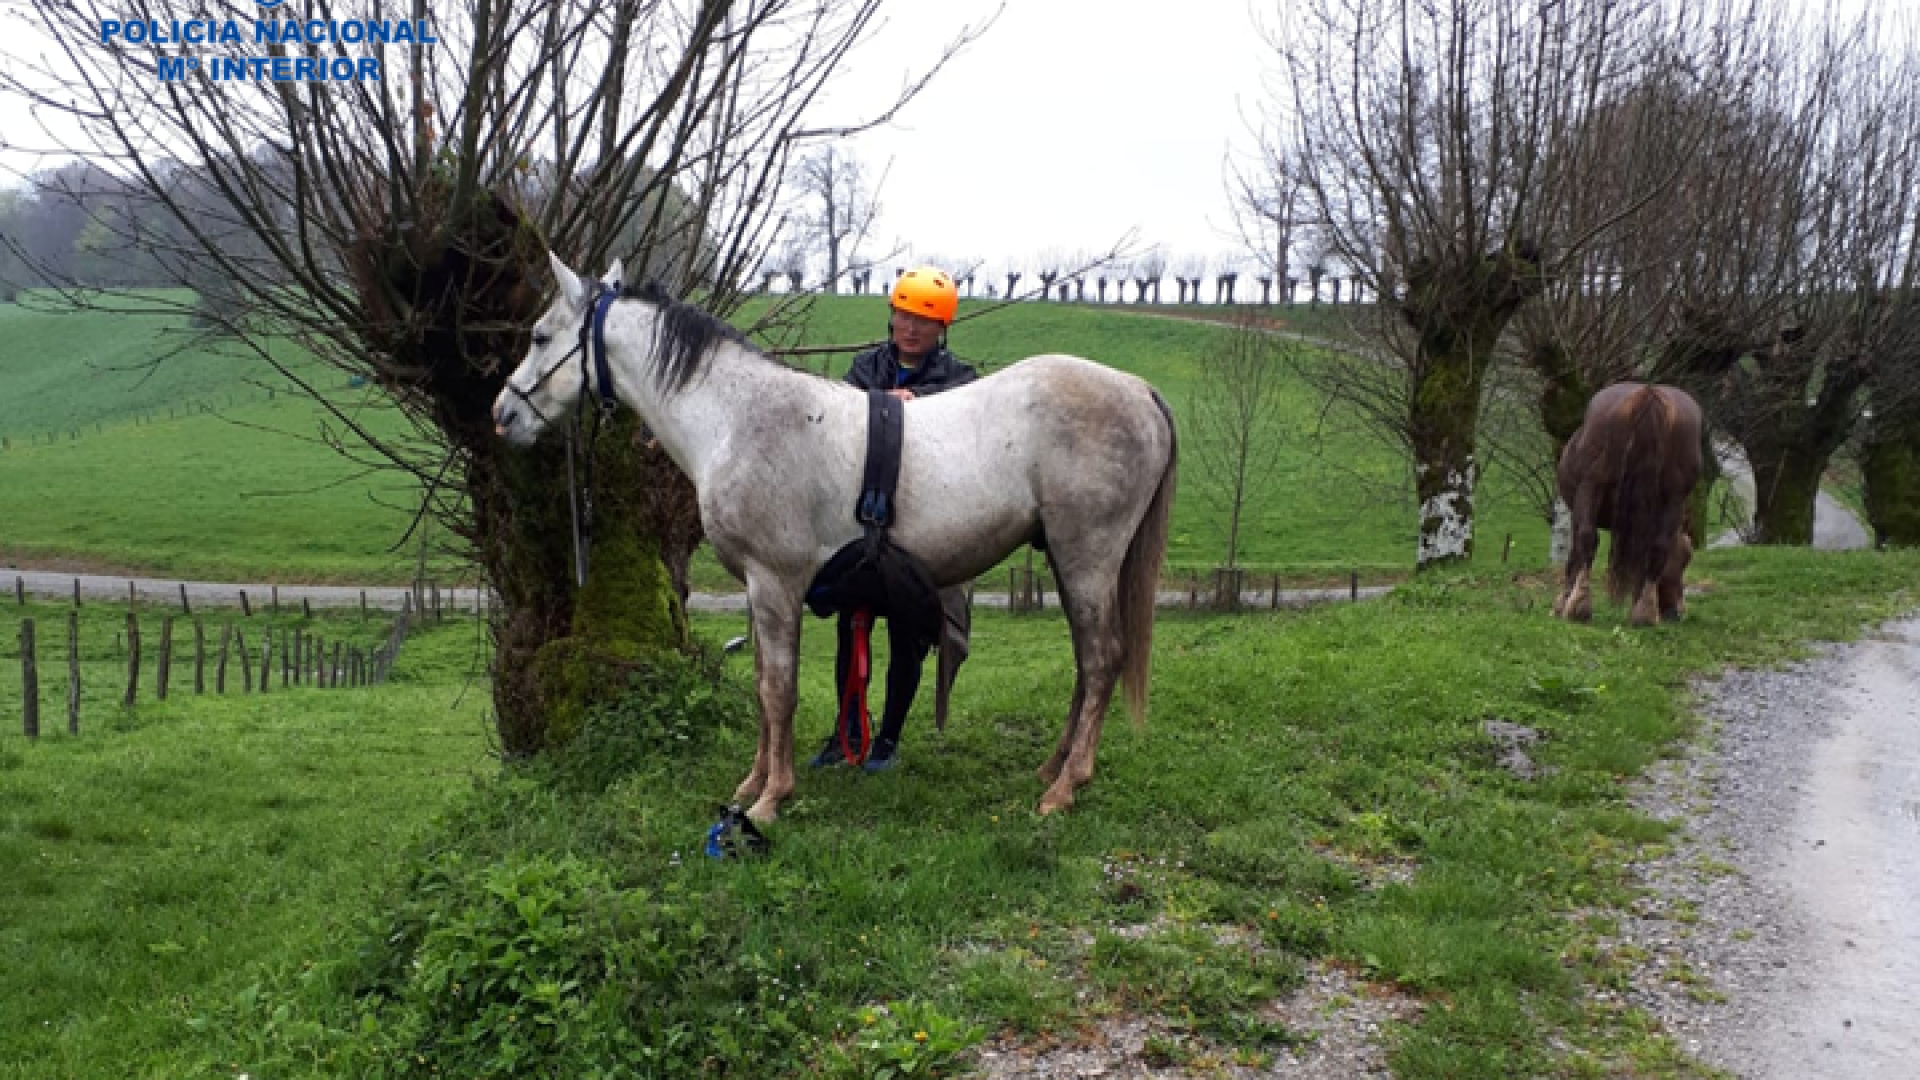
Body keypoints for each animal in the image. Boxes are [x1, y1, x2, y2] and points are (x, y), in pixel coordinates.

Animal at [492, 254, 1178, 824]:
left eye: (540, 336)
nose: (504, 415)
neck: (737, 417)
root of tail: (1139, 389)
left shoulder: (775, 584)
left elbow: (780, 690)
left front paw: (771, 799)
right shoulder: (758, 591)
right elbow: (765, 684)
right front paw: (752, 783)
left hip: (1086, 558)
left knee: (1101, 658)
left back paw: (1065, 787)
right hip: (1066, 560)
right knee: (1087, 663)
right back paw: (1054, 767)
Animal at [1552, 382, 1703, 626]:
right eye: (1685, 557)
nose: (1676, 612)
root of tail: (1648, 392)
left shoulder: (1578, 509)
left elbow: (1574, 555)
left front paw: (1563, 603)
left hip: (1591, 485)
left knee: (1588, 538)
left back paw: (1579, 607)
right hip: (1674, 496)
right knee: (1658, 546)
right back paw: (1645, 613)